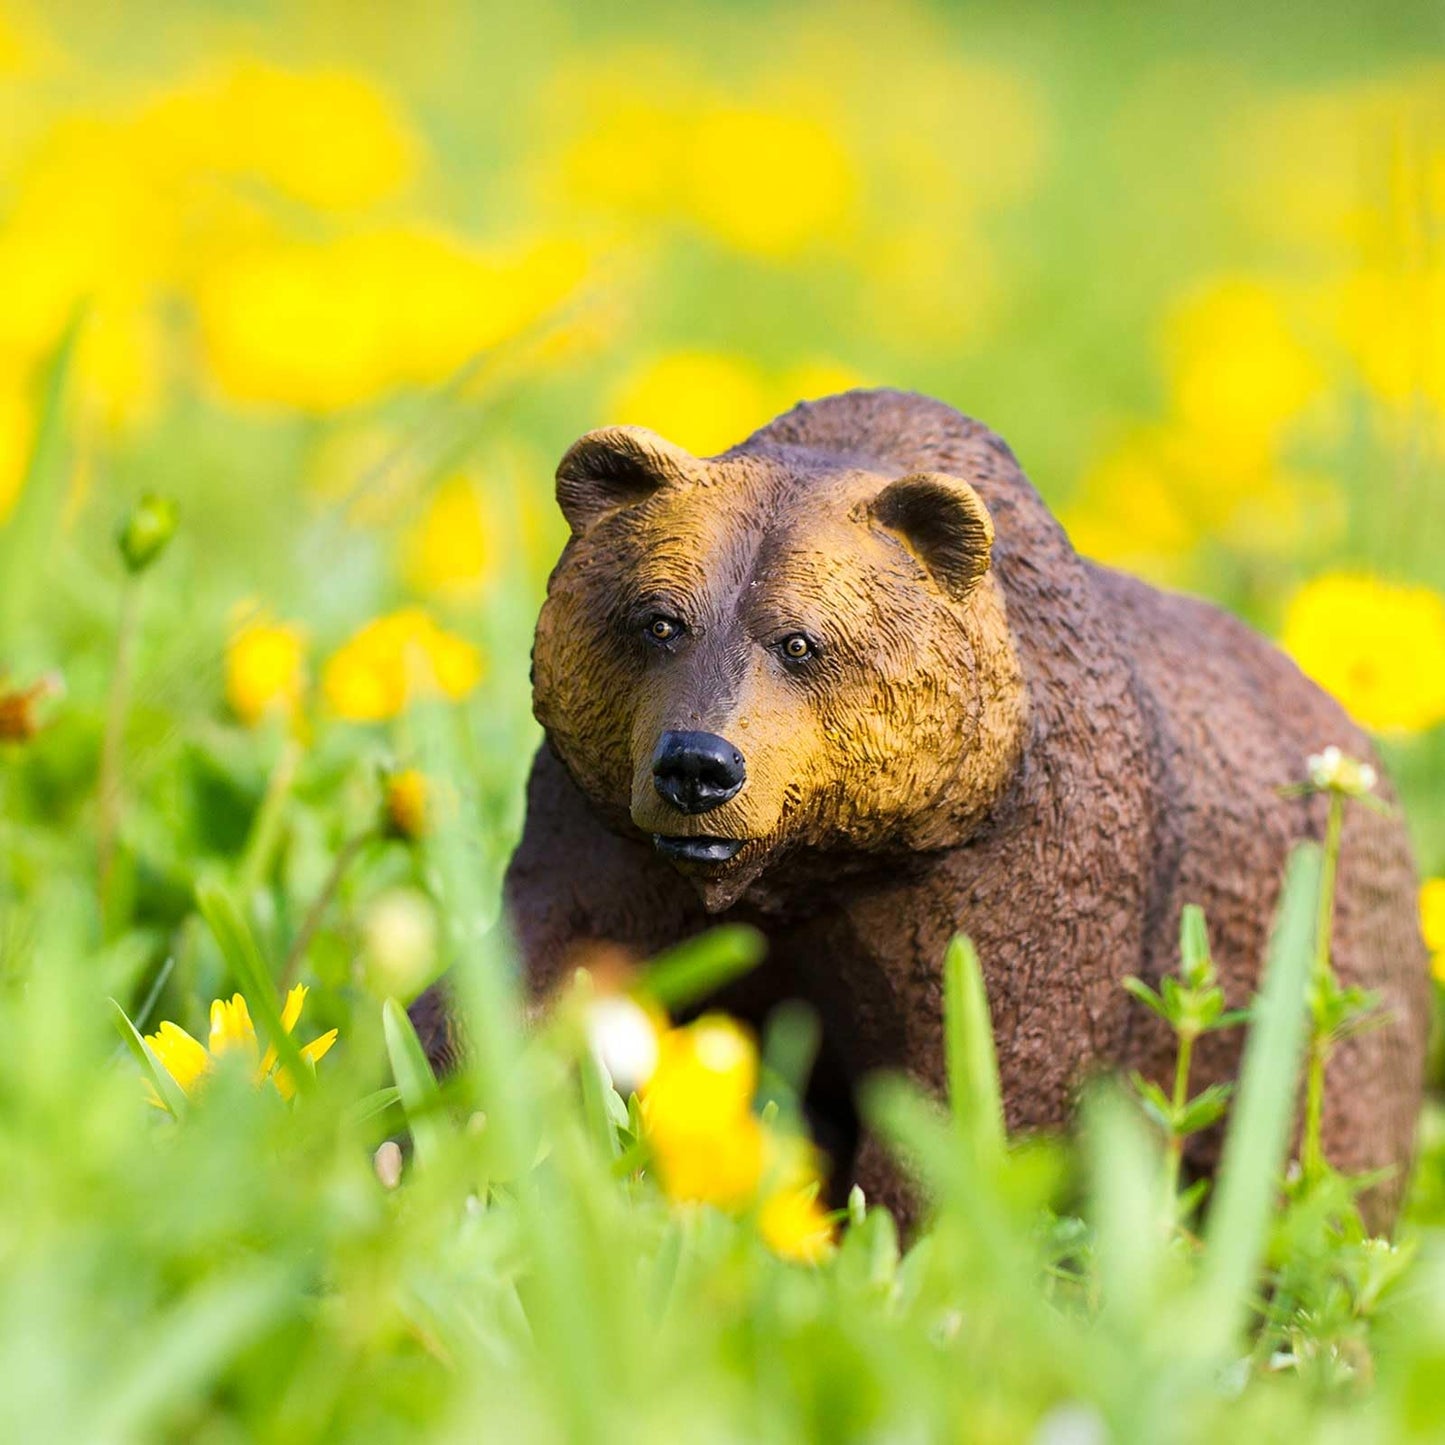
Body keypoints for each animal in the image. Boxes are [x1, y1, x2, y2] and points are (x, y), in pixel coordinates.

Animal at [412, 388, 1429, 1228]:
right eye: (657, 618)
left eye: (801, 641)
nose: (698, 767)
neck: (819, 857)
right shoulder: (602, 822)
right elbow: (526, 961)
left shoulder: (1013, 860)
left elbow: (988, 1070)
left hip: (1310, 971)